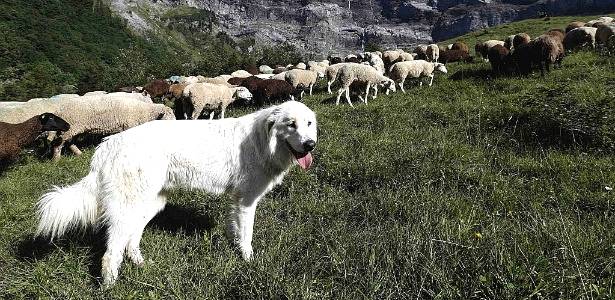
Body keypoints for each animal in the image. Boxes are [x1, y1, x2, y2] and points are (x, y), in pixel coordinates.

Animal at [35, 100, 318, 286]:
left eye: (309, 124)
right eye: (291, 124)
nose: (310, 144)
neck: (262, 140)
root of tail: (107, 145)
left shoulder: (237, 201)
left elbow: (235, 230)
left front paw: (236, 248)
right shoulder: (247, 201)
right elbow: (247, 235)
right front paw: (249, 261)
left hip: (148, 205)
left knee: (131, 241)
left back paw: (141, 264)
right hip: (128, 209)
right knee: (111, 254)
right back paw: (110, 287)